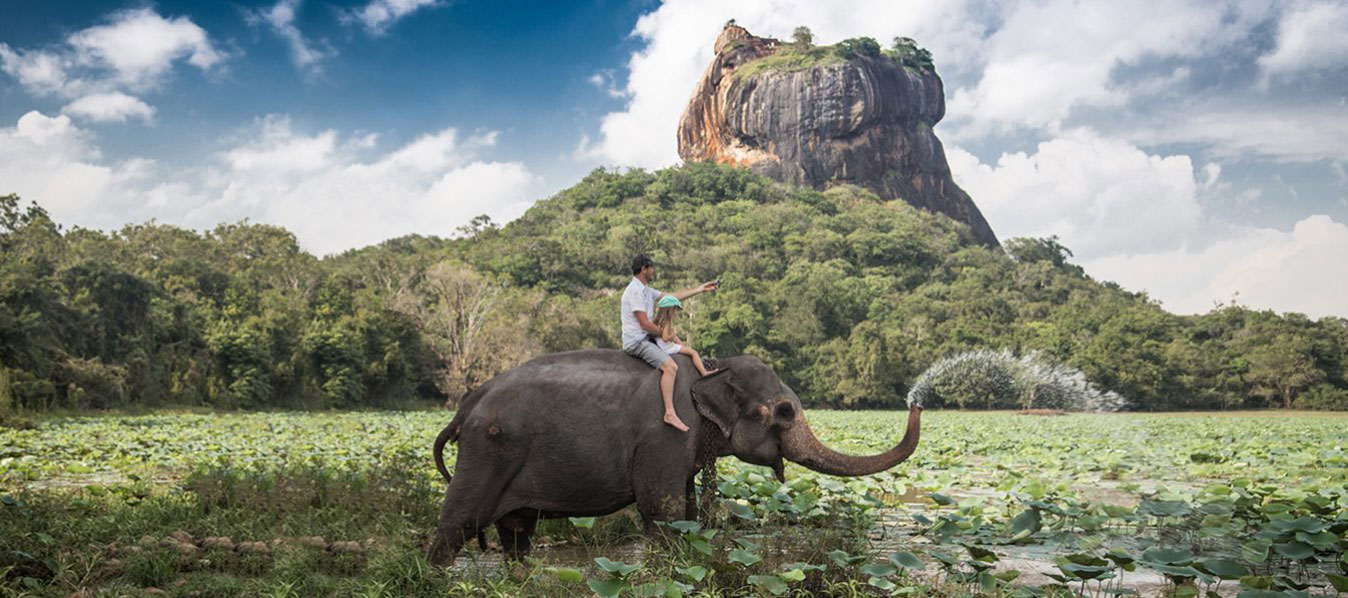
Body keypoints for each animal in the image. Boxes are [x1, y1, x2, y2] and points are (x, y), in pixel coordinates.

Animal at [426, 348, 922, 564]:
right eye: (783, 411)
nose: (917, 401)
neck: (711, 369)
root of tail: (467, 404)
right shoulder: (665, 434)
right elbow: (662, 511)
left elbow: (685, 511)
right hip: (487, 452)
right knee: (457, 524)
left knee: (516, 532)